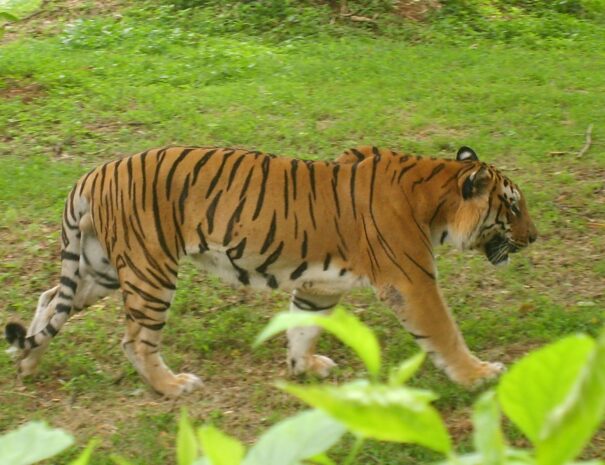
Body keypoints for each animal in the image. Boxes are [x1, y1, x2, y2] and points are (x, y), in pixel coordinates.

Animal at [3, 144, 532, 396]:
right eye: (513, 207)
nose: (535, 237)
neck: (435, 195)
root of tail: (92, 174)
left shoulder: (319, 285)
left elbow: (303, 328)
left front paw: (303, 369)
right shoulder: (412, 281)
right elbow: (445, 333)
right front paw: (480, 375)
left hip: (102, 268)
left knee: (50, 298)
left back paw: (27, 362)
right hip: (149, 269)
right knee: (135, 339)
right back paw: (172, 386)